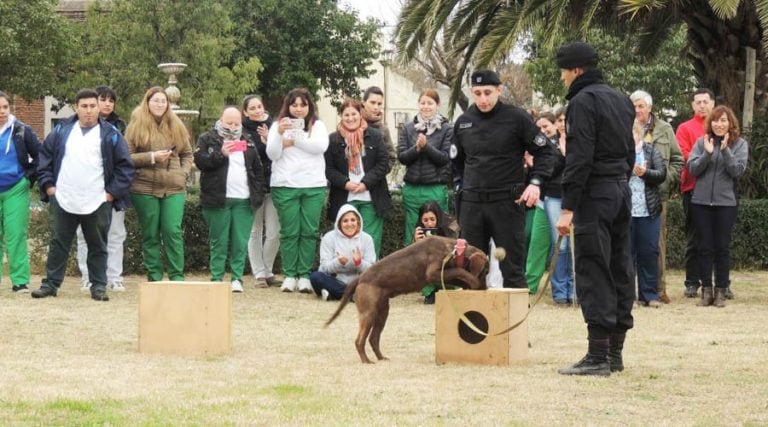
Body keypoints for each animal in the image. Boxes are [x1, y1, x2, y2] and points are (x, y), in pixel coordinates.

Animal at [326, 237, 492, 364]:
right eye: (485, 271)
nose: (485, 289)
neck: (453, 251)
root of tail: (360, 278)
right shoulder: (432, 273)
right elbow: (460, 271)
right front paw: (473, 282)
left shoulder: (442, 275)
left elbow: (459, 275)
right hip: (369, 312)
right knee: (359, 340)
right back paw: (366, 361)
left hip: (382, 313)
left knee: (373, 338)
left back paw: (381, 358)